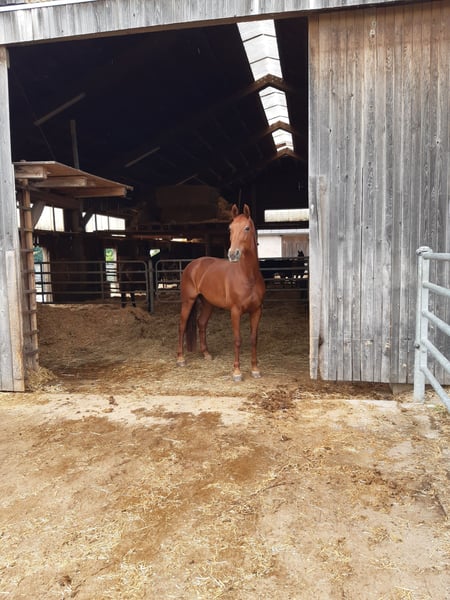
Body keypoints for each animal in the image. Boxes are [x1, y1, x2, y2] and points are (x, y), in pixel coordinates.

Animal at [176, 203, 265, 382]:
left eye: (246, 228)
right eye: (230, 228)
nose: (233, 254)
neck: (248, 276)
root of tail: (192, 265)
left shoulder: (256, 311)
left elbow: (254, 339)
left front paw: (255, 369)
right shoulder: (235, 311)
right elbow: (237, 340)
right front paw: (237, 372)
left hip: (208, 303)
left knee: (201, 323)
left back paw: (206, 354)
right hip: (188, 301)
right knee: (182, 325)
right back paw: (181, 359)